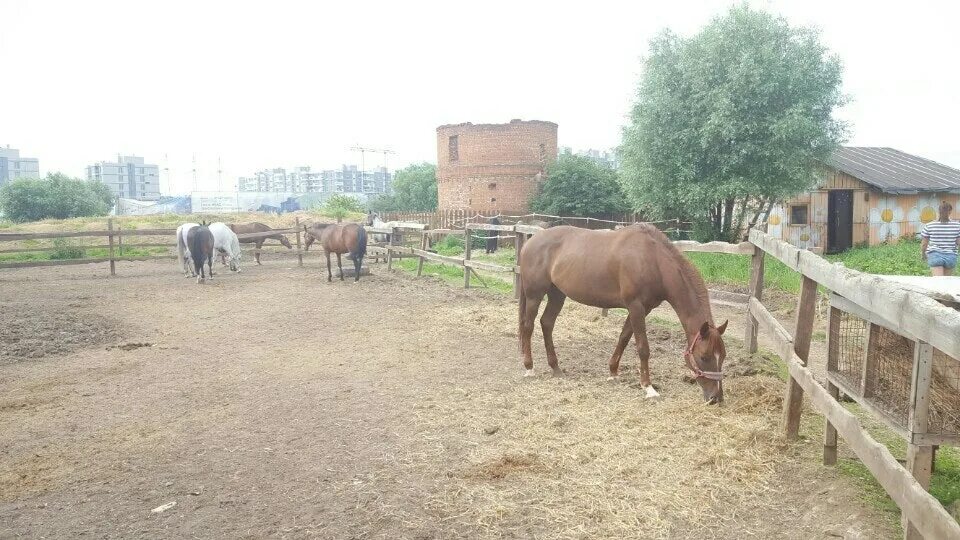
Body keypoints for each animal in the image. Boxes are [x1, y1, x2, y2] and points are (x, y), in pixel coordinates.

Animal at [516, 221, 728, 402]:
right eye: (704, 357)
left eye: (723, 356)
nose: (716, 398)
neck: (653, 260)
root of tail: (530, 242)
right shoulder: (635, 306)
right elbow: (643, 348)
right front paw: (648, 387)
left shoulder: (643, 309)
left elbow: (624, 338)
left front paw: (613, 372)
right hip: (535, 296)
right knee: (528, 326)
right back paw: (529, 368)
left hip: (557, 294)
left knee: (547, 323)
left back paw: (556, 368)